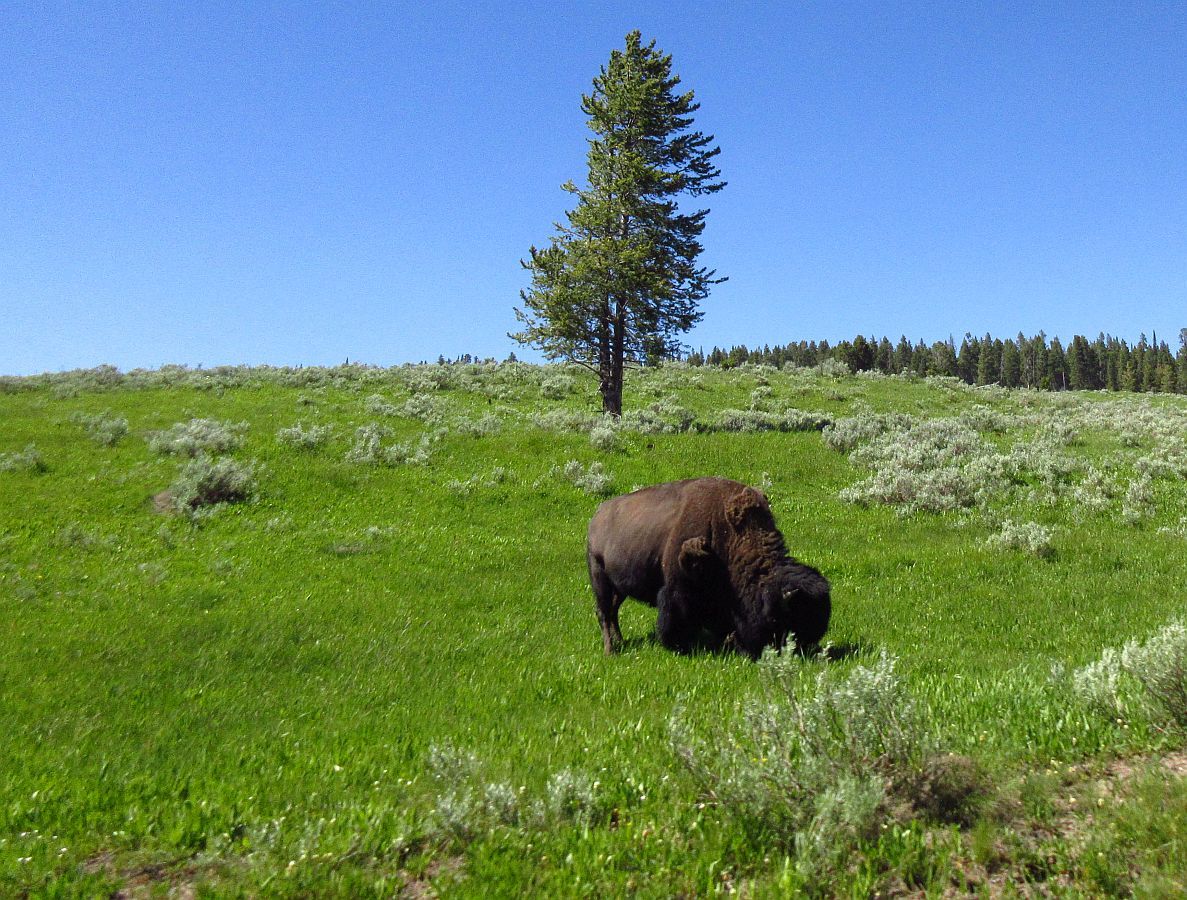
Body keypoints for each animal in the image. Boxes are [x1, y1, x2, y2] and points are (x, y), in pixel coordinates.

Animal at [581, 474, 826, 660]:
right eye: (779, 619)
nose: (800, 652)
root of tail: (597, 516)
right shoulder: (678, 588)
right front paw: (678, 646)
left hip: (618, 587)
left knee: (613, 611)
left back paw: (620, 642)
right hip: (599, 577)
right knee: (604, 613)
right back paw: (611, 651)